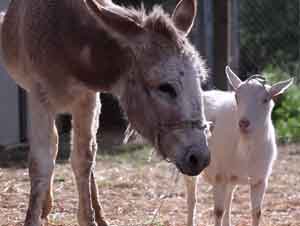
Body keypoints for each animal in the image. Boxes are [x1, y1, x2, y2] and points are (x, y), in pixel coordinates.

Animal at [184, 66, 294, 226]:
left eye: (265, 99)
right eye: (237, 97)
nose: (243, 123)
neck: (245, 147)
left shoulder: (260, 180)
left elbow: (256, 213)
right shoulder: (220, 176)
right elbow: (218, 211)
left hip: (232, 176)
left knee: (229, 199)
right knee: (192, 198)